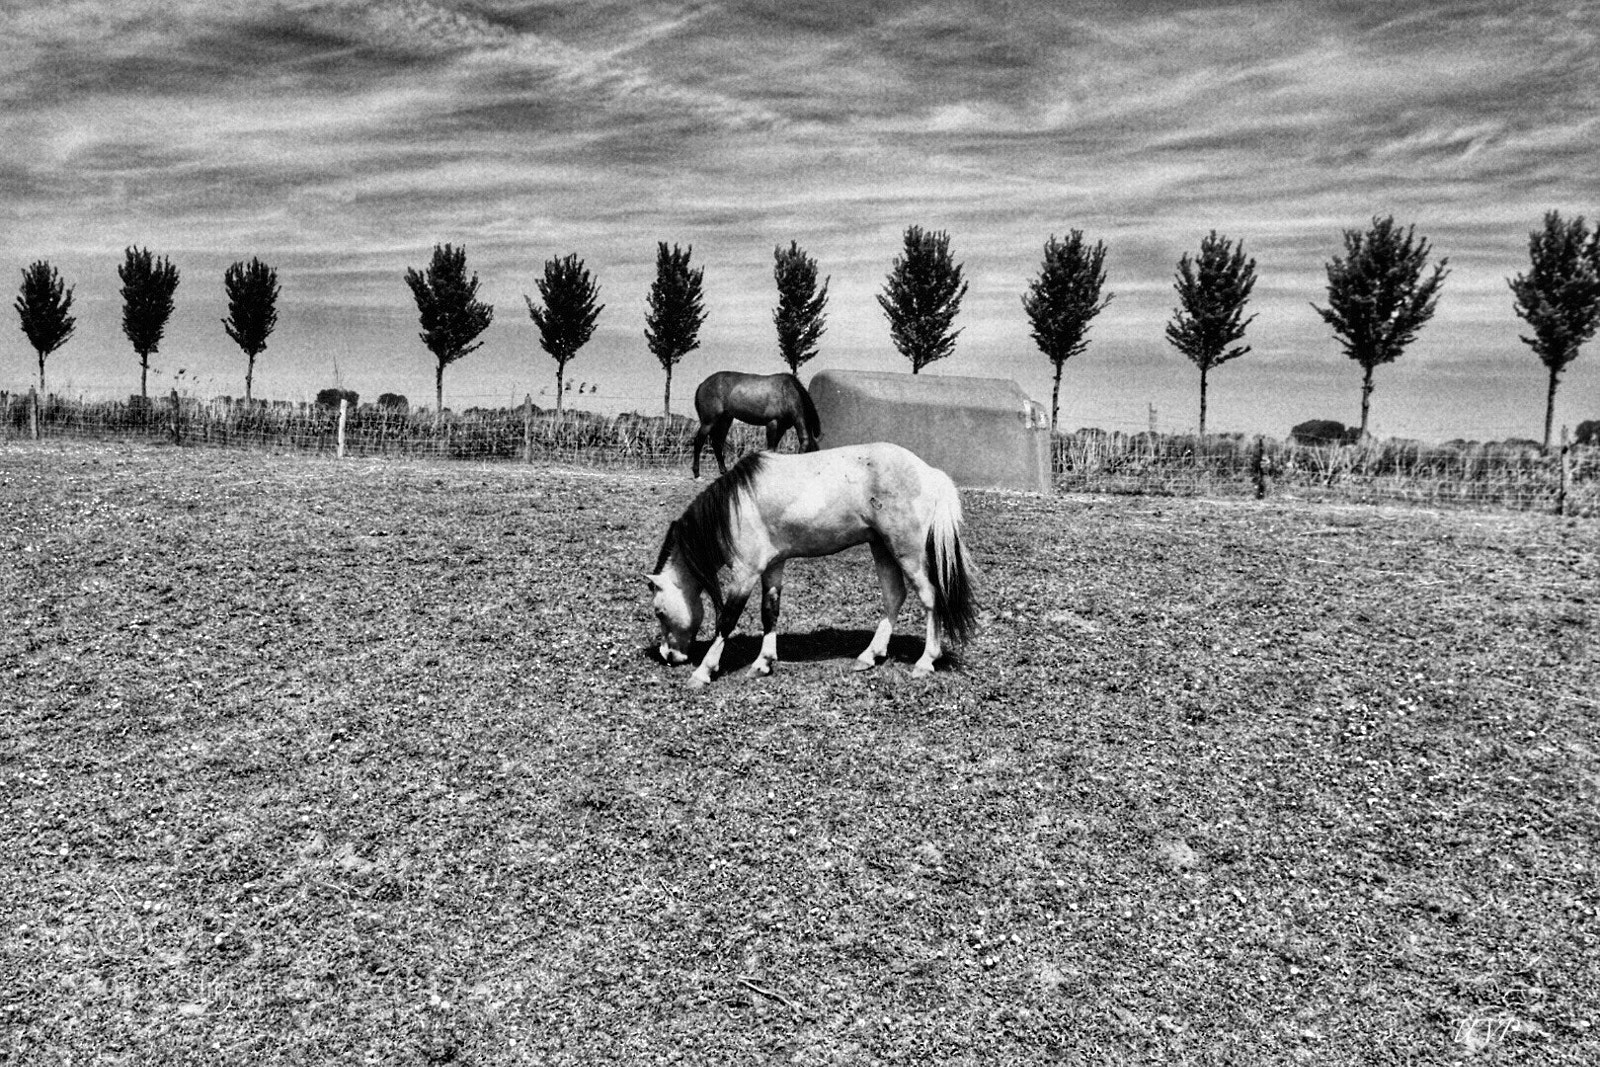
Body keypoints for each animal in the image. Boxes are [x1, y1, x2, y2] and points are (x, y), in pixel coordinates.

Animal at [646, 442, 977, 688]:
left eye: (659, 611)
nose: (668, 655)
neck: (734, 506)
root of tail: (930, 473)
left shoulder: (745, 573)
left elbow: (726, 620)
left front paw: (703, 671)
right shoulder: (773, 566)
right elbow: (770, 612)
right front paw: (763, 663)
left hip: (907, 551)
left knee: (930, 598)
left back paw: (925, 661)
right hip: (882, 548)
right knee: (894, 596)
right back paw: (869, 656)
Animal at [690, 371, 821, 479]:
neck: (787, 392)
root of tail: (702, 384)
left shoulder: (782, 427)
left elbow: (774, 449)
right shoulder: (772, 424)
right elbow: (771, 448)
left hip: (725, 421)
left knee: (717, 444)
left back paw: (724, 471)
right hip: (709, 422)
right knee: (698, 441)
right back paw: (697, 473)